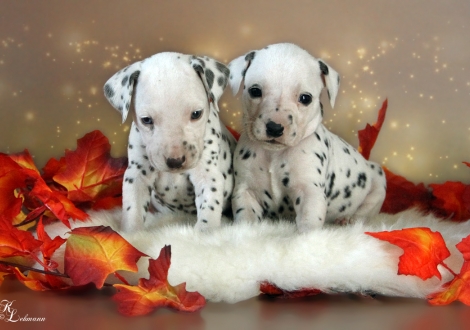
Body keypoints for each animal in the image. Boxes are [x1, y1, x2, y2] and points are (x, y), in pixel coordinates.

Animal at [103, 52, 235, 232]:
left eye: (196, 114)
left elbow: (209, 208)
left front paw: (204, 232)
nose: (175, 161)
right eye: (146, 120)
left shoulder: (208, 175)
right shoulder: (137, 174)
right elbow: (133, 209)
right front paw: (131, 234)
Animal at [228, 43, 386, 232]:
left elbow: (309, 226)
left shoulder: (310, 192)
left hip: (378, 181)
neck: (274, 154)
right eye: (255, 91)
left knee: (364, 212)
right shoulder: (246, 191)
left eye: (305, 98)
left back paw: (348, 219)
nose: (275, 128)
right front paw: (245, 232)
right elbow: (246, 218)